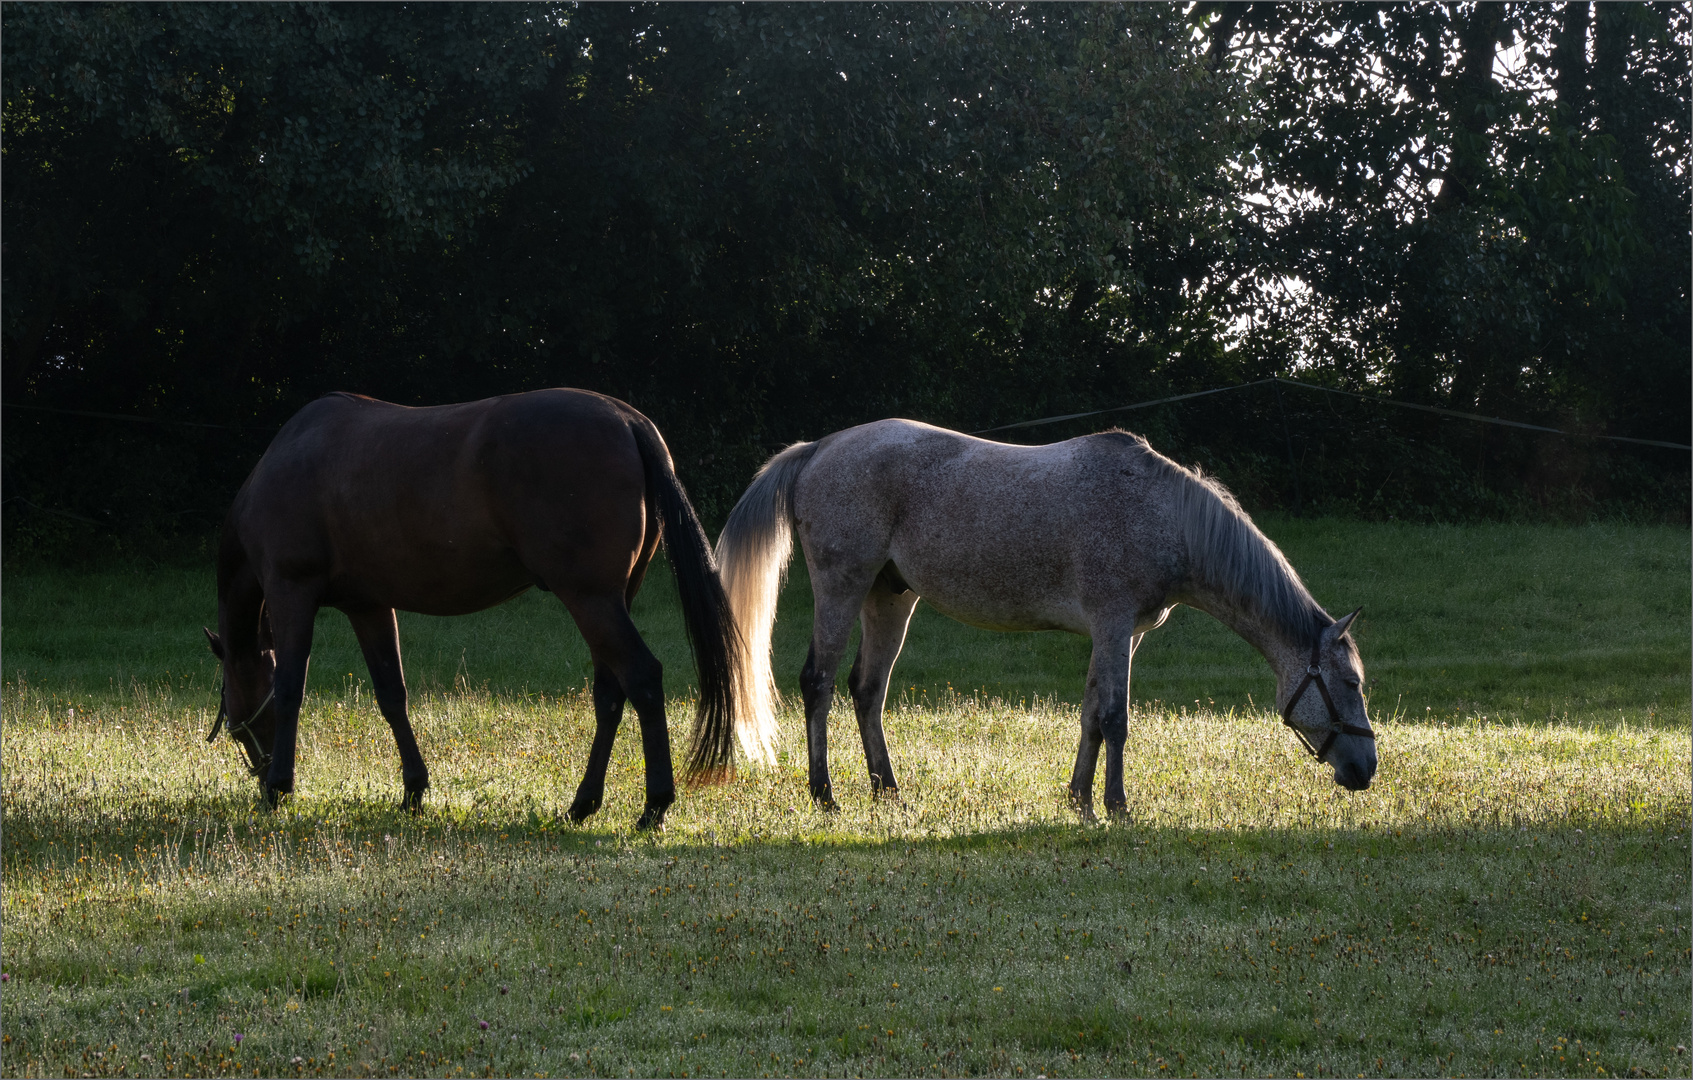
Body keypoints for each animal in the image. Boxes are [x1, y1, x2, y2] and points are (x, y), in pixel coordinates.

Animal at [201, 389, 738, 829]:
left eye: (231, 701)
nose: (259, 766)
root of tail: (629, 421)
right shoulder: (368, 605)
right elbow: (391, 695)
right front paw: (414, 791)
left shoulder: (292, 591)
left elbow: (290, 688)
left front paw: (279, 787)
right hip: (610, 602)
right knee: (610, 693)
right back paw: (583, 804)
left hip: (591, 600)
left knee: (643, 679)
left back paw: (654, 806)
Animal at [714, 419, 1374, 815]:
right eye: (1350, 682)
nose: (1364, 768)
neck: (1163, 515)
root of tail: (819, 448)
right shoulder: (1113, 627)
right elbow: (1116, 719)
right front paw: (1117, 808)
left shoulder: (1120, 637)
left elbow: (1091, 716)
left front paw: (1080, 801)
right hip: (843, 586)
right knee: (819, 683)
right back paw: (824, 795)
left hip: (890, 596)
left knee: (867, 688)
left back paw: (889, 792)